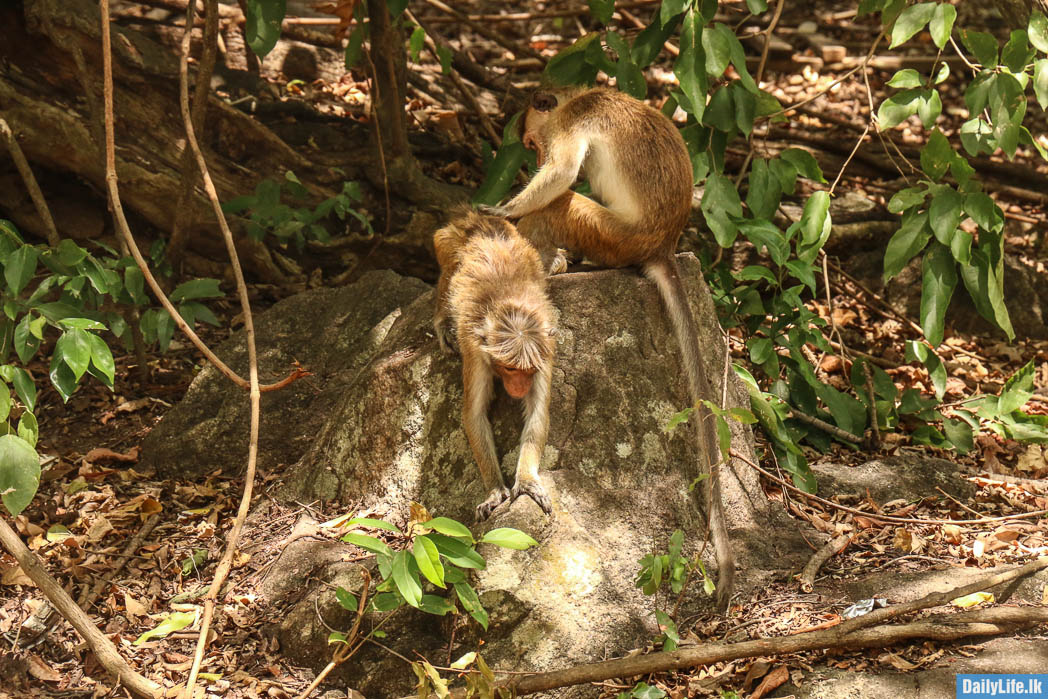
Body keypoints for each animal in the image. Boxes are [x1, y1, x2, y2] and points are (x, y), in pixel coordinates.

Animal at [433, 207, 557, 521]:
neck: (509, 303)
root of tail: (481, 223)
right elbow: (474, 413)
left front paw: (526, 481)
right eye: (511, 369)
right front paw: (494, 490)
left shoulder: (546, 350)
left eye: (528, 371)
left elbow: (538, 411)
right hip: (449, 240)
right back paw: (442, 319)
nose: (519, 386)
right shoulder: (475, 352)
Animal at [483, 87, 735, 611]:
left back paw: (549, 262)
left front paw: (503, 212)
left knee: (563, 203)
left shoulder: (572, 124)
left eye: (532, 143)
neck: (575, 98)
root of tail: (662, 246)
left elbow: (561, 175)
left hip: (612, 236)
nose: (531, 156)